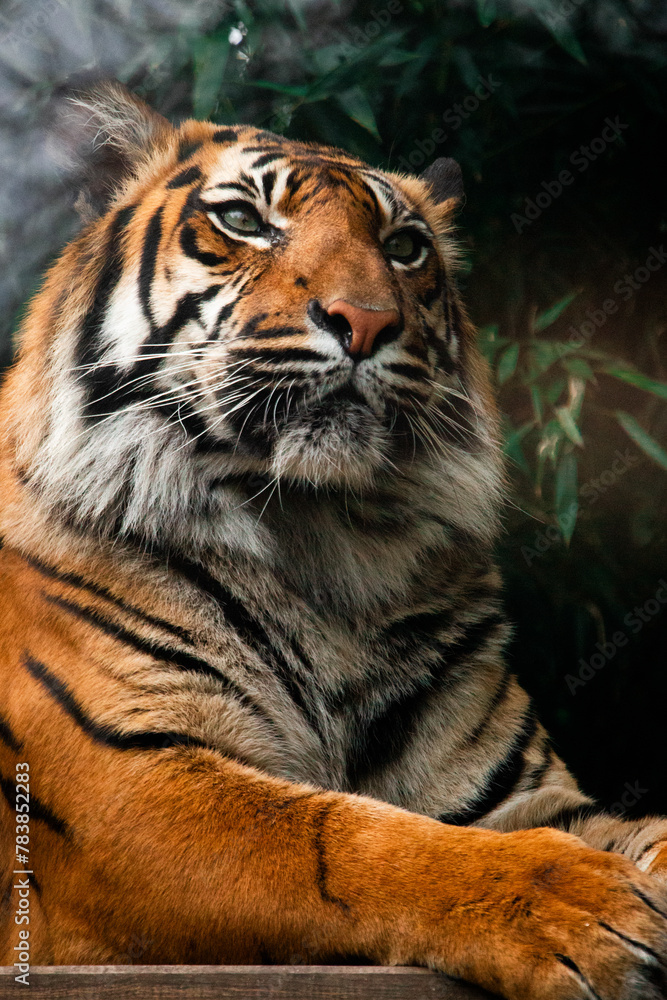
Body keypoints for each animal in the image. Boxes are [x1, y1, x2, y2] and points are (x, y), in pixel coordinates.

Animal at [0, 78, 666, 999]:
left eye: (404, 246)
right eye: (242, 219)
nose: (366, 319)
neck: (321, 538)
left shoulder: (525, 797)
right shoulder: (124, 780)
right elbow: (344, 840)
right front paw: (581, 903)